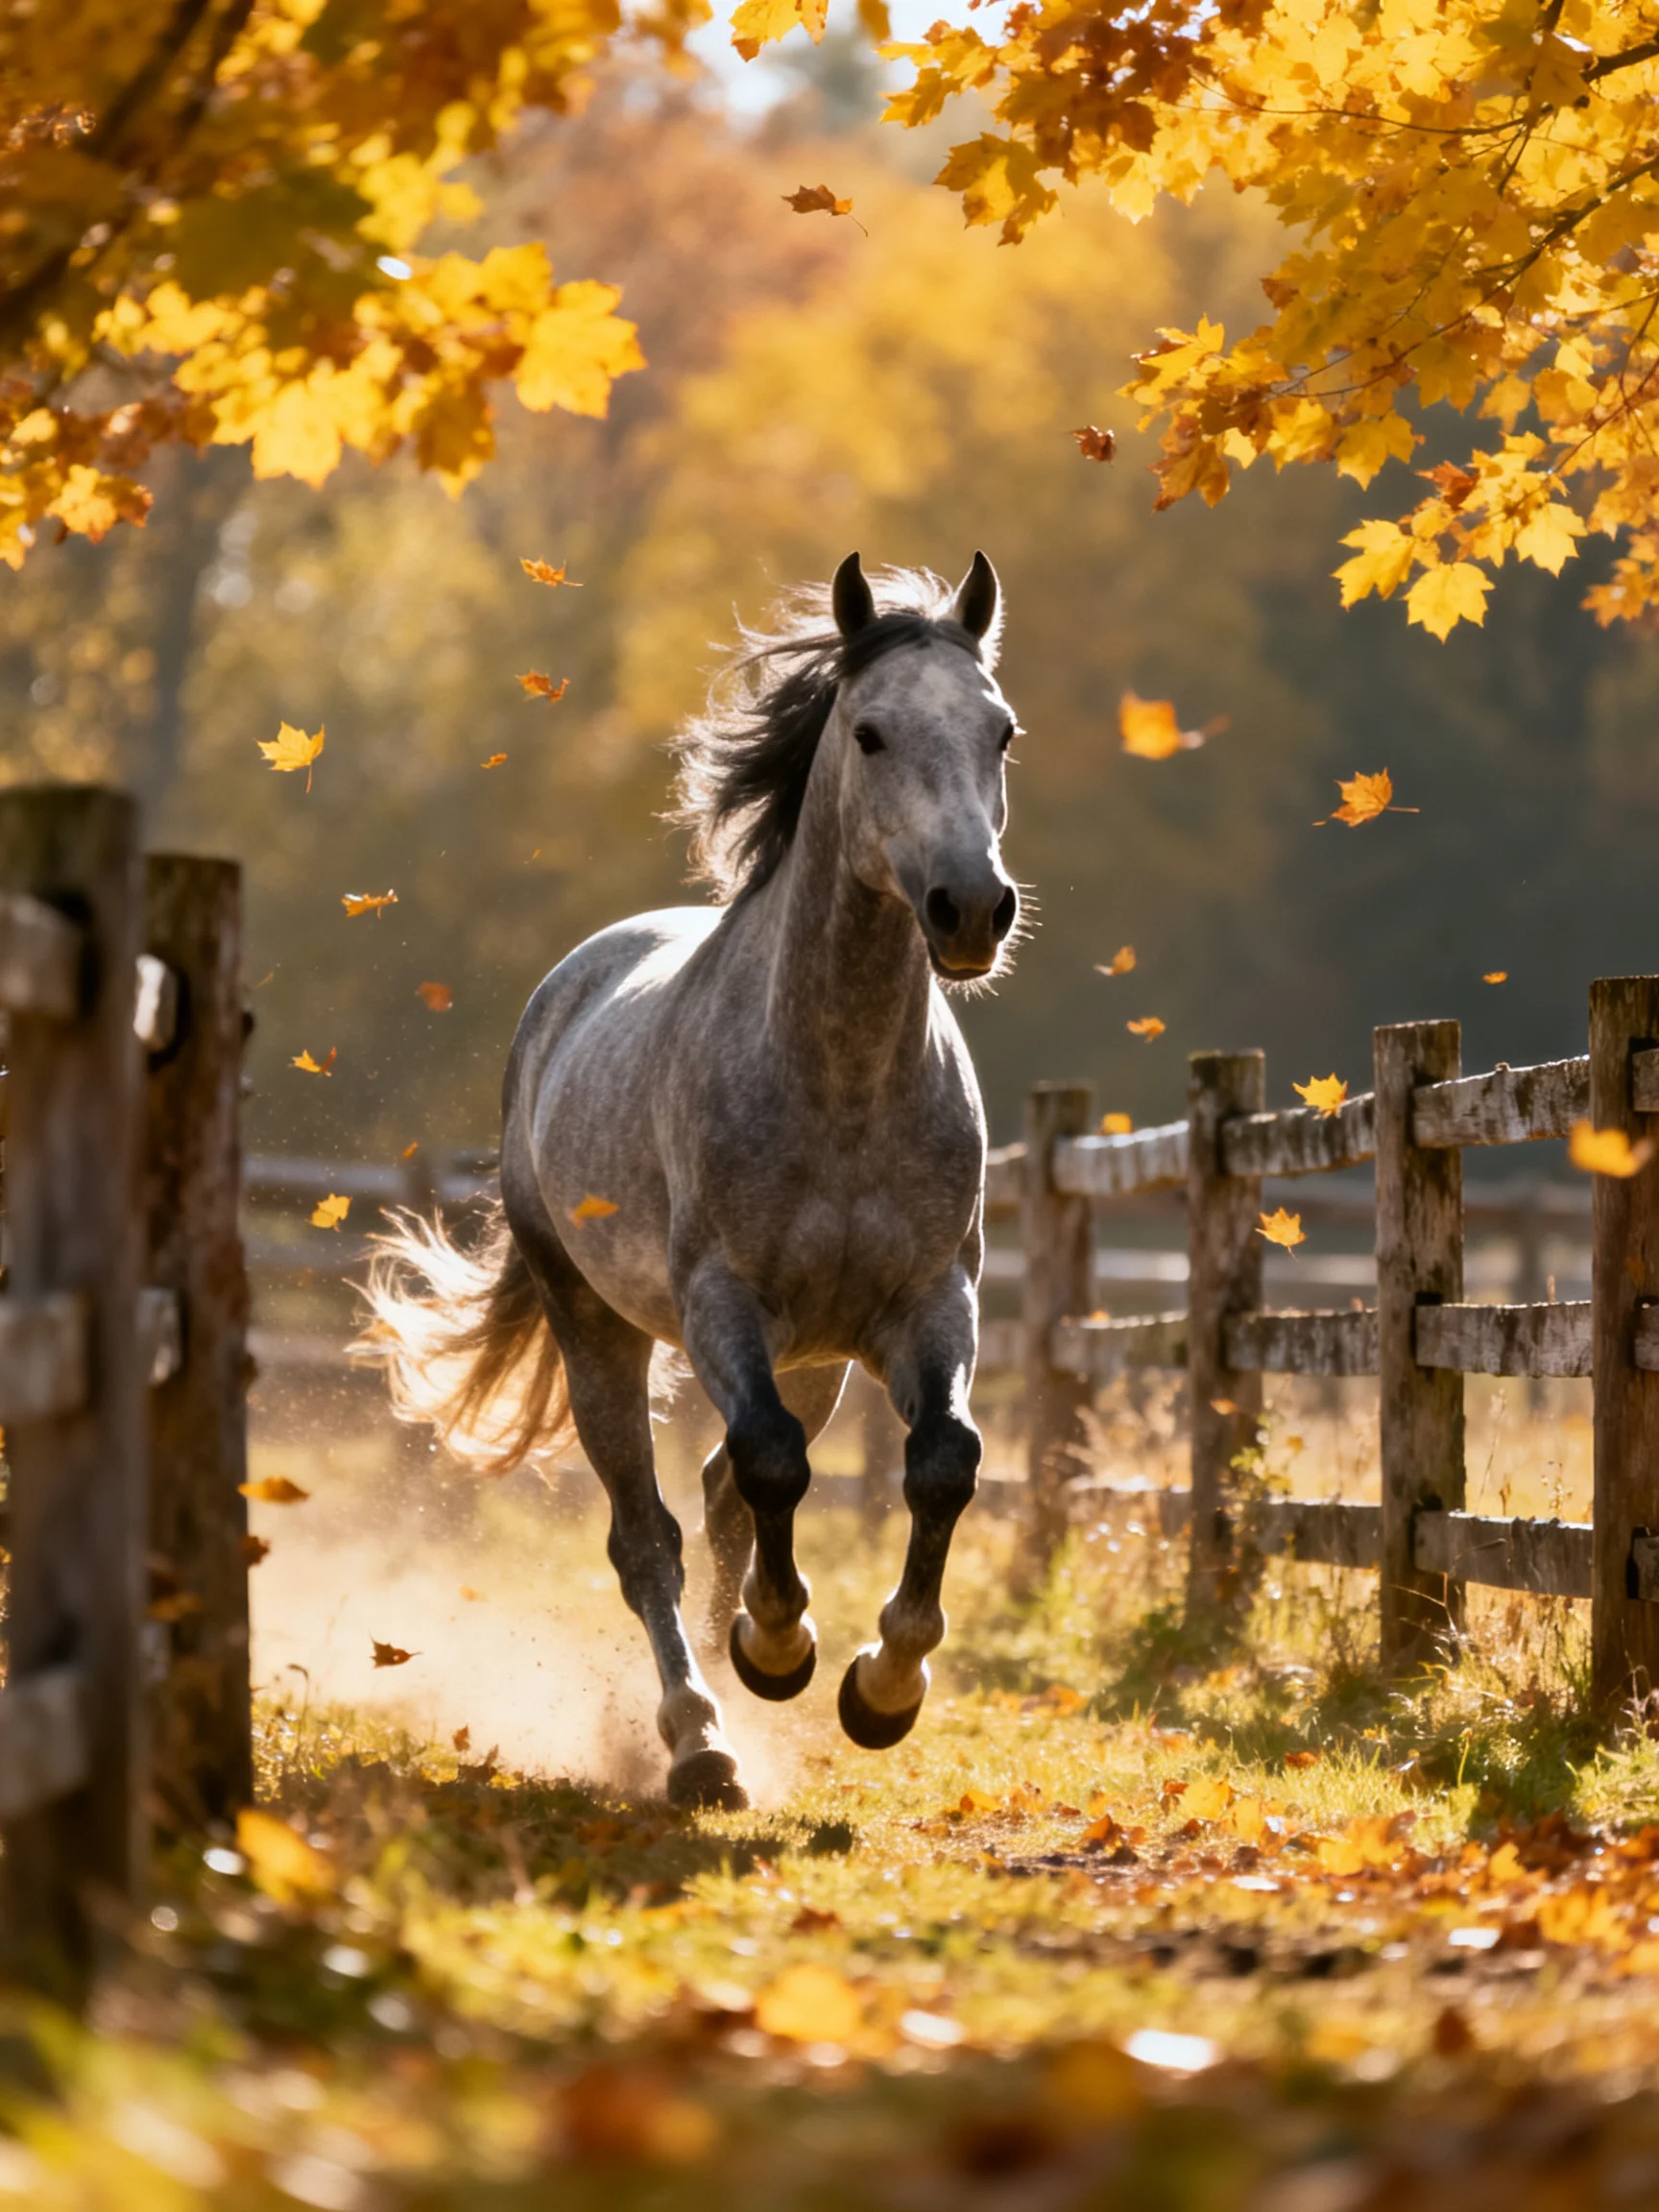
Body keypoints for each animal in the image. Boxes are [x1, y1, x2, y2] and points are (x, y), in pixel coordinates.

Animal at [362, 552, 1023, 1810]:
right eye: (868, 732)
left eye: (1001, 731)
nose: (972, 908)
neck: (839, 1081)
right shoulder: (723, 1303)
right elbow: (769, 1465)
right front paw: (779, 1644)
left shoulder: (930, 1302)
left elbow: (941, 1464)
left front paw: (878, 1686)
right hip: (600, 1332)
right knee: (651, 1533)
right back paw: (700, 1736)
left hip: (818, 1355)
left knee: (720, 1490)